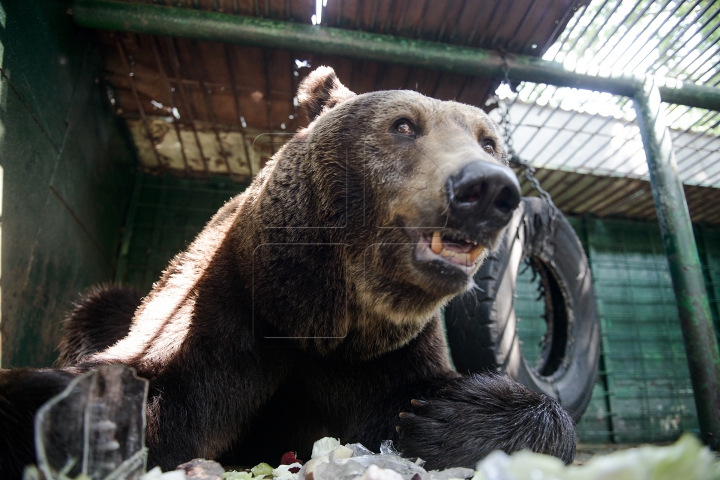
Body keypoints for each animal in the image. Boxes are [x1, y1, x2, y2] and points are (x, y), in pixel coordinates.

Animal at [0, 66, 572, 476]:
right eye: (404, 125)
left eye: (488, 140)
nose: (488, 187)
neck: (317, 318)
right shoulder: (228, 315)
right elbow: (157, 398)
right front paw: (74, 419)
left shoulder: (384, 356)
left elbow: (426, 399)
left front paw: (446, 418)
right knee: (100, 305)